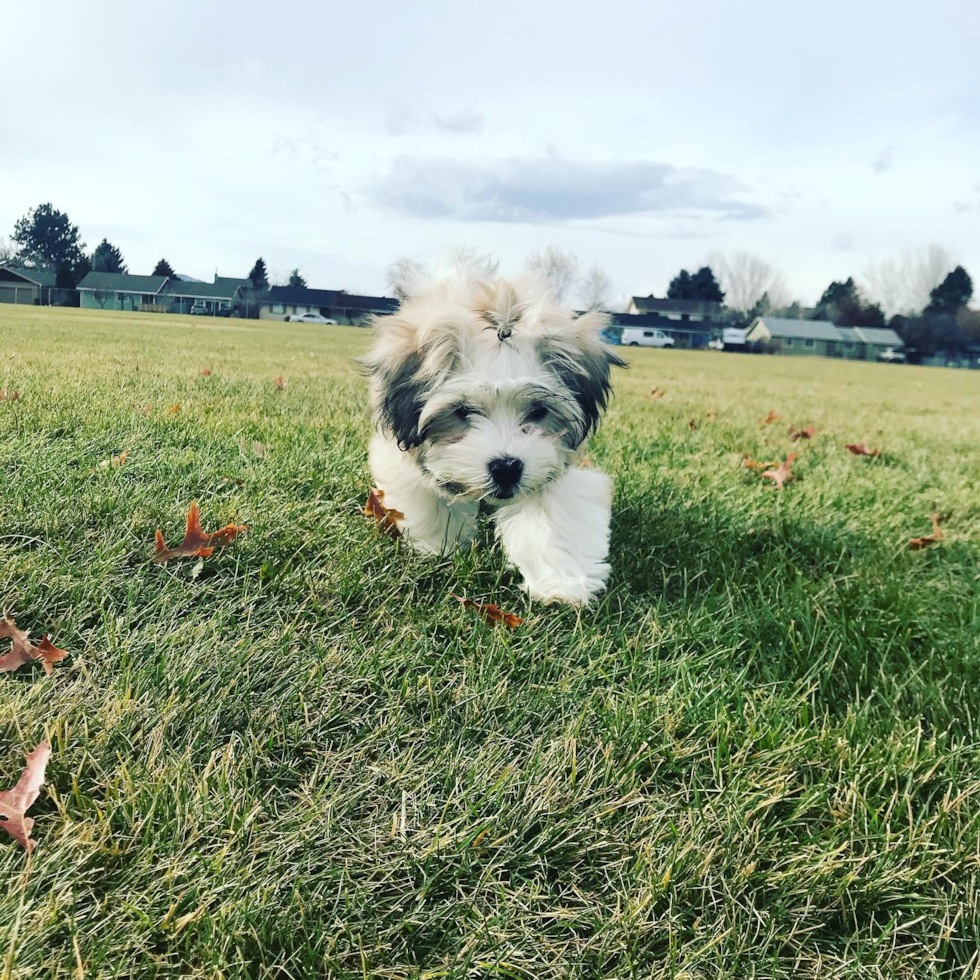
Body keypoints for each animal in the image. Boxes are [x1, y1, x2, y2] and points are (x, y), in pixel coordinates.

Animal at [364, 255, 624, 604]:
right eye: (462, 411)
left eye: (538, 411)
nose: (506, 468)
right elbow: (431, 499)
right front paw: (438, 548)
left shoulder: (556, 462)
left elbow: (553, 514)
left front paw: (560, 583)